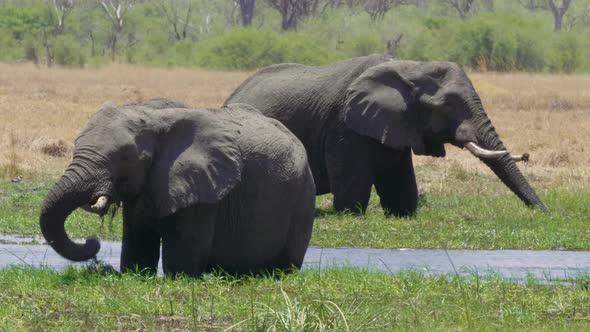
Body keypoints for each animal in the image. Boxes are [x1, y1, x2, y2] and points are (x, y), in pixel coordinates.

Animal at [39, 100, 316, 276]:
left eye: (126, 156)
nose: (92, 242)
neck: (154, 117)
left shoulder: (204, 192)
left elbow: (181, 263)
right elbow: (137, 249)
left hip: (303, 196)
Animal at [225, 53, 544, 215]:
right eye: (446, 106)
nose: (543, 213)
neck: (410, 67)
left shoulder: (397, 125)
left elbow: (401, 185)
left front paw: (402, 212)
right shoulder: (344, 124)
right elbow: (352, 191)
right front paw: (349, 213)